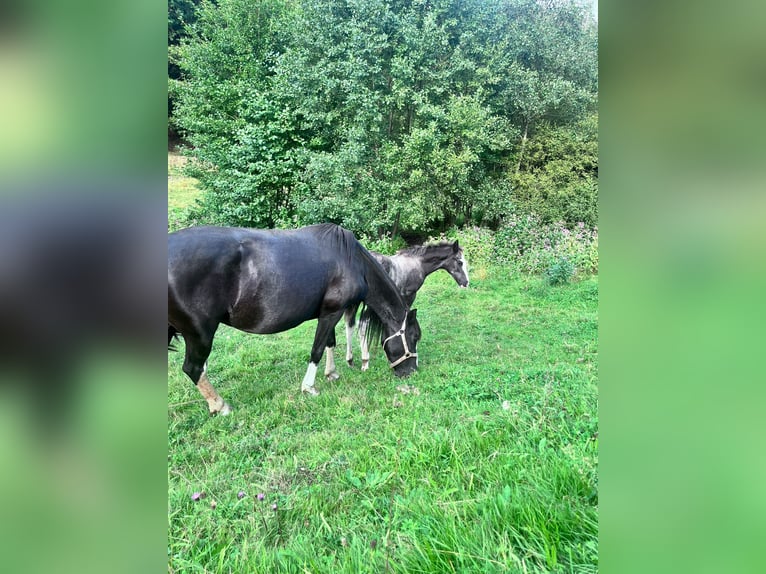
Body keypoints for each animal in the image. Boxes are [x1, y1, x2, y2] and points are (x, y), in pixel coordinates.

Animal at [168, 223, 424, 416]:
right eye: (414, 337)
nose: (411, 371)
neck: (350, 260)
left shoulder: (329, 312)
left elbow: (329, 343)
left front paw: (331, 373)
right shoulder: (332, 312)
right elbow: (317, 350)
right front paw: (309, 387)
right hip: (200, 333)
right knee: (193, 368)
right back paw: (220, 406)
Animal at [328, 240, 472, 372]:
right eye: (460, 262)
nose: (466, 283)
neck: (417, 264)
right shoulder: (408, 296)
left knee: (350, 325)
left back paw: (350, 360)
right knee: (361, 325)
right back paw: (365, 361)